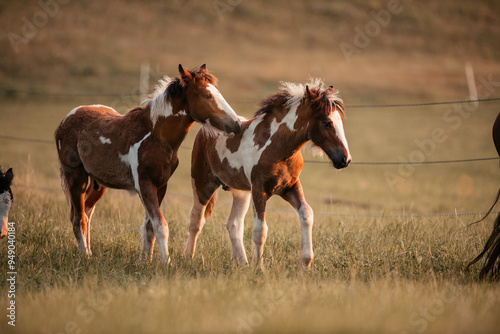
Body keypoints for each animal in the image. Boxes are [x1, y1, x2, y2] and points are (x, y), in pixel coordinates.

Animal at [55, 64, 242, 264]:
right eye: (207, 95)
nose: (237, 124)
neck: (155, 136)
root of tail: (65, 120)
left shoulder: (160, 186)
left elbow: (149, 226)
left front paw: (146, 260)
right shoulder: (145, 185)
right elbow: (160, 225)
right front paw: (165, 262)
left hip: (98, 183)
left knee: (87, 212)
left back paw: (89, 252)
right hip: (76, 178)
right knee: (78, 218)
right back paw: (84, 255)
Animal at [185, 79, 352, 268]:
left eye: (340, 121)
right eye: (327, 122)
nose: (345, 159)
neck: (277, 148)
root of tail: (204, 130)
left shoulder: (290, 187)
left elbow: (307, 214)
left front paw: (306, 263)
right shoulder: (260, 190)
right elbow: (260, 230)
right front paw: (259, 266)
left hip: (241, 192)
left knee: (234, 224)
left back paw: (242, 263)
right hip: (202, 184)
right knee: (196, 220)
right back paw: (188, 257)